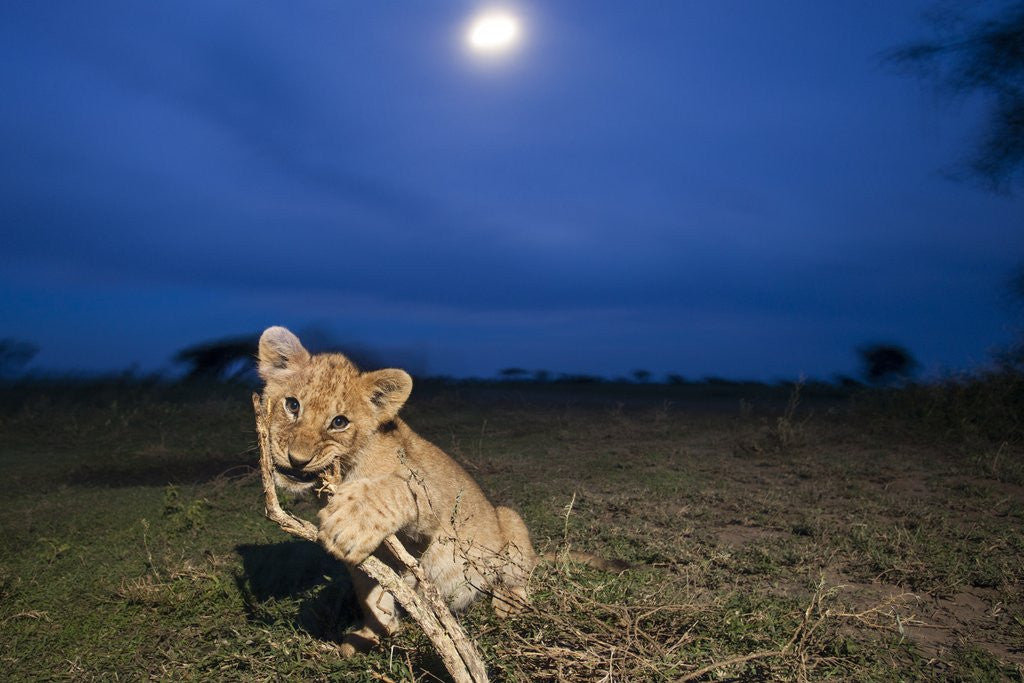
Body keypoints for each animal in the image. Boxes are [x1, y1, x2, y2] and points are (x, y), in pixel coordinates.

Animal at [257, 326, 537, 656]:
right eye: (292, 405)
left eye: (339, 422)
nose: (297, 459)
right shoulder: (374, 559)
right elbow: (371, 592)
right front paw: (373, 633)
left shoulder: (433, 497)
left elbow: (395, 488)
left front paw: (354, 518)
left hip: (509, 521)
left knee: (521, 576)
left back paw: (509, 604)